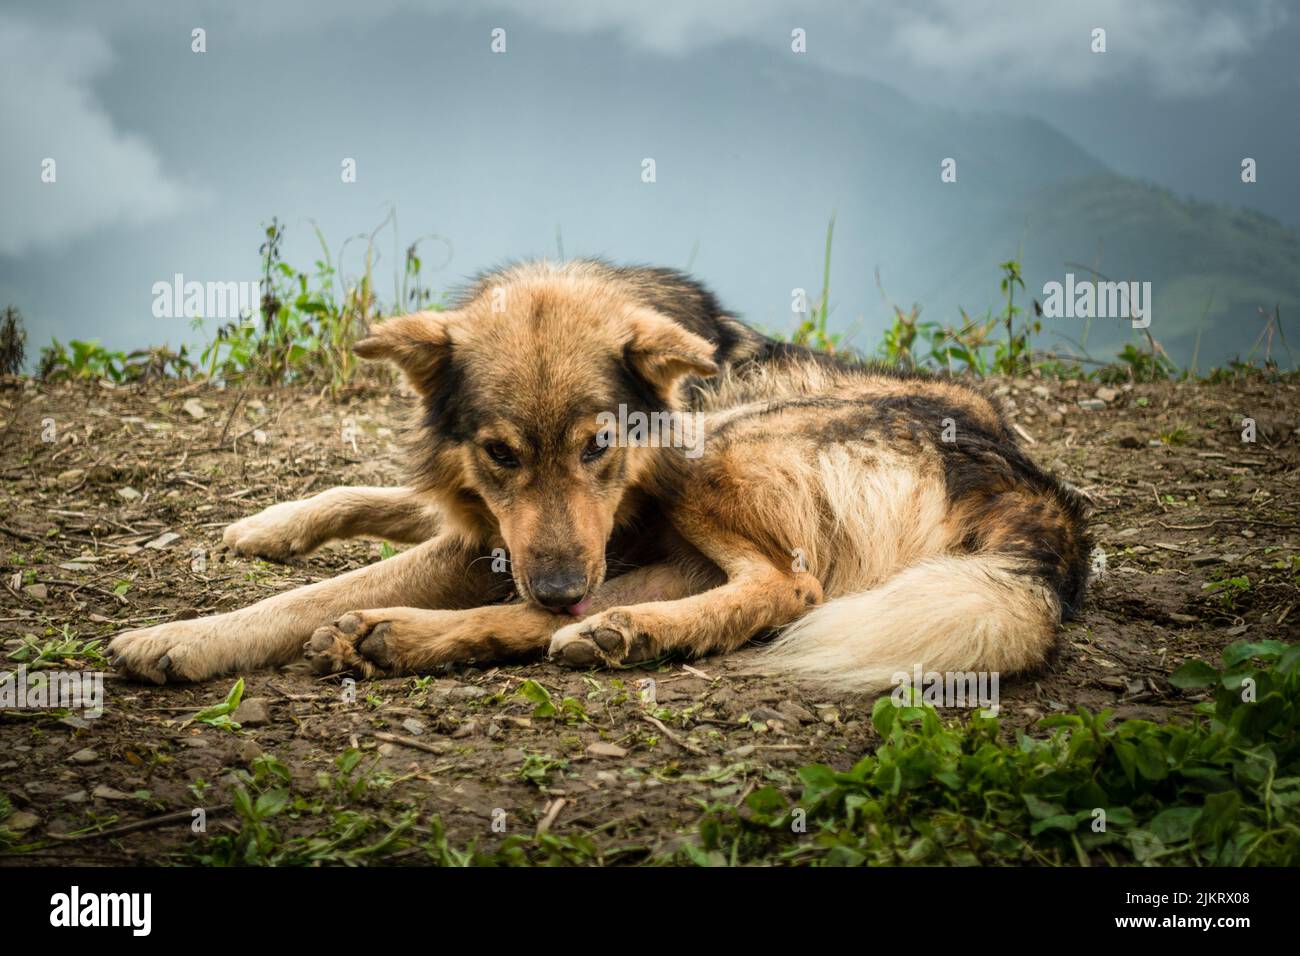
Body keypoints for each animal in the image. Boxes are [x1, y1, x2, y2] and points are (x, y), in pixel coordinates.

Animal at [106, 261, 1092, 691]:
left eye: (598, 447)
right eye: (502, 453)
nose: (554, 584)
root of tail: (1046, 501)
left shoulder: (501, 546)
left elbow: (308, 596)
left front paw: (183, 638)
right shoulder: (488, 522)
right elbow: (374, 498)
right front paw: (267, 527)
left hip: (714, 449)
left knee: (786, 589)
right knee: (609, 607)